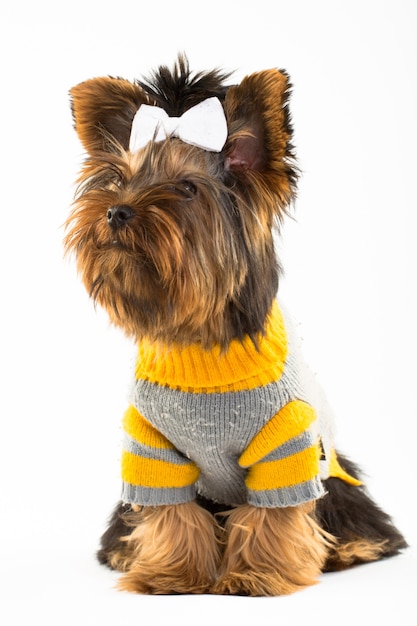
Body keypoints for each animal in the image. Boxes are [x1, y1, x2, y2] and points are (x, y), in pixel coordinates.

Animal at [65, 54, 406, 596]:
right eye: (119, 179)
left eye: (185, 188)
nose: (116, 211)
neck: (199, 345)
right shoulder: (152, 446)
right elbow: (172, 513)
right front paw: (171, 574)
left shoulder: (286, 443)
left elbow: (274, 515)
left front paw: (255, 574)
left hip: (332, 469)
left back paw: (352, 546)